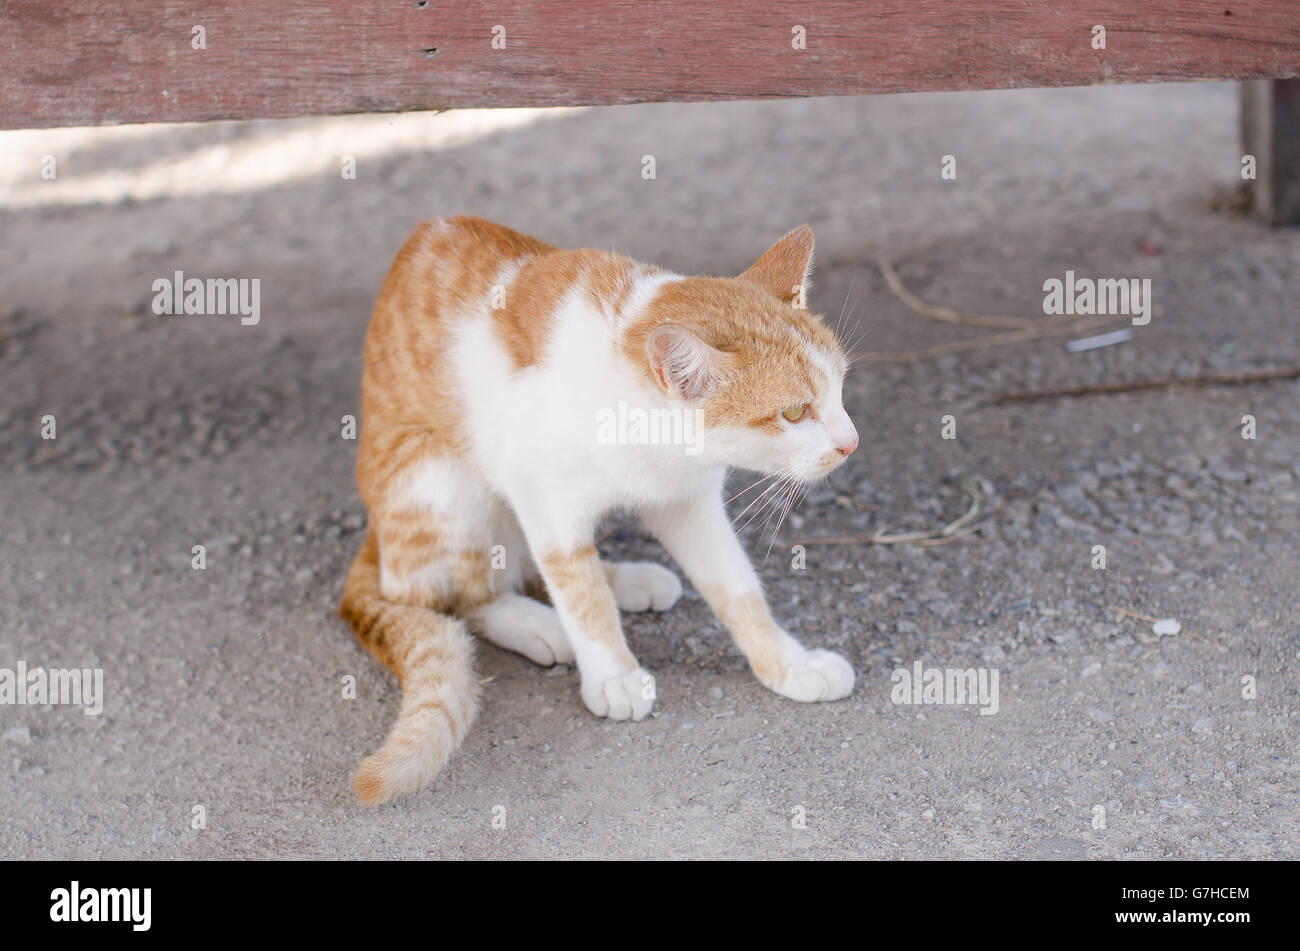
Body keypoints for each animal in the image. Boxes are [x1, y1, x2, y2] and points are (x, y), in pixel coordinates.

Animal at [340, 219, 857, 805]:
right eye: (794, 412)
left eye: (840, 387)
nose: (851, 443)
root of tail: (376, 537)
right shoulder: (541, 494)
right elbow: (579, 590)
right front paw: (612, 673)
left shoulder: (689, 501)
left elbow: (737, 590)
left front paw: (789, 663)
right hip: (444, 480)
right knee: (459, 594)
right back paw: (535, 622)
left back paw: (627, 580)